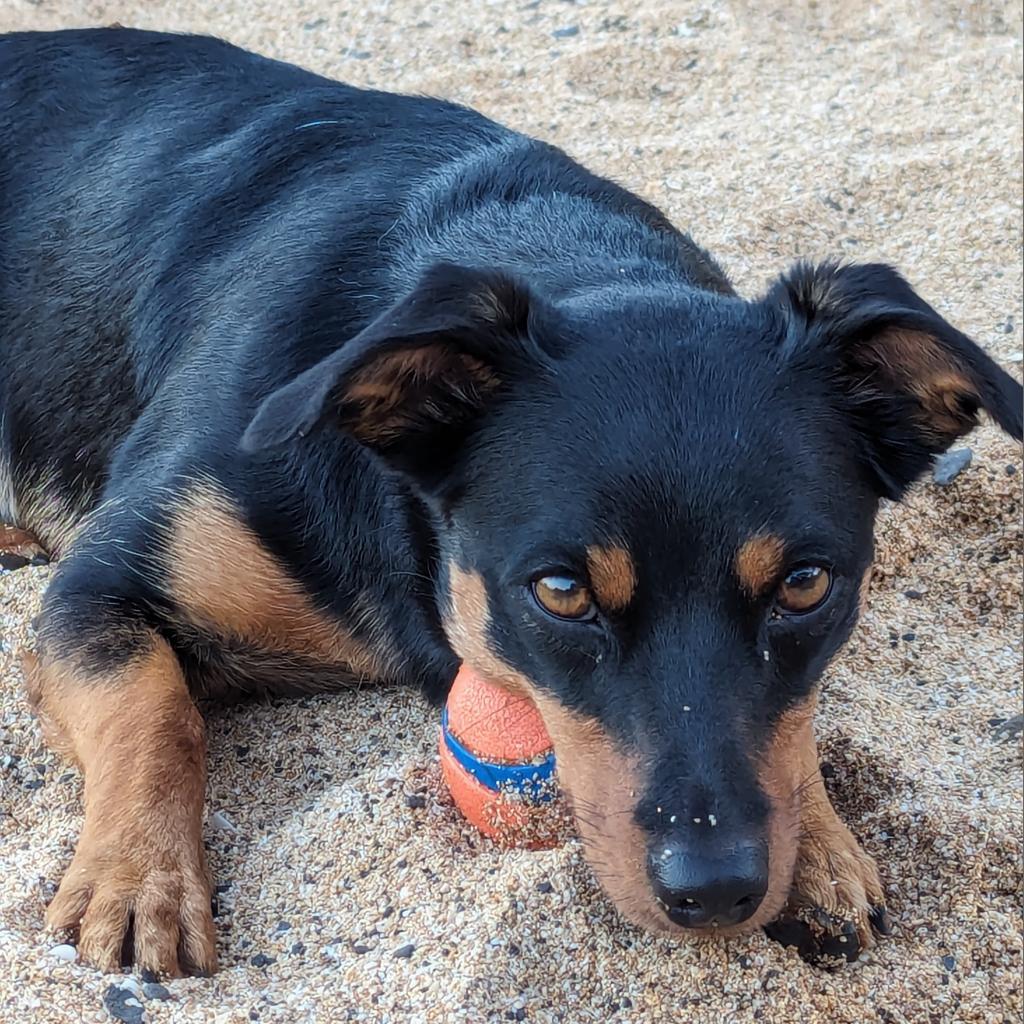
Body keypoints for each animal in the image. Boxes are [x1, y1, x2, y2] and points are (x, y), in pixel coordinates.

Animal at [4, 28, 1019, 978]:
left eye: (807, 585)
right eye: (562, 594)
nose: (718, 890)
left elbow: (798, 721)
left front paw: (821, 853)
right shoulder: (103, 583)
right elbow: (156, 707)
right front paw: (141, 877)